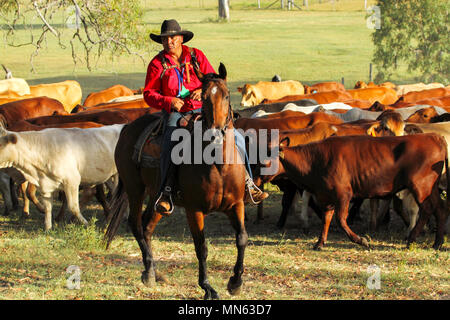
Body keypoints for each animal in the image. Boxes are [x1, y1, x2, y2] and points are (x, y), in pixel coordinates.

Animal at [104, 64, 248, 300]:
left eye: (226, 95)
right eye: (204, 98)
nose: (215, 134)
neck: (218, 165)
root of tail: (127, 128)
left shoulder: (236, 205)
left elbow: (242, 238)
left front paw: (235, 282)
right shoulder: (194, 210)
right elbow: (201, 247)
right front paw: (207, 287)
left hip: (157, 196)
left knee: (147, 226)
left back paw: (153, 271)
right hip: (135, 189)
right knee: (136, 224)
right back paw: (150, 273)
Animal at [258, 132, 448, 250]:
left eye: (265, 162)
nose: (256, 180)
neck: (315, 161)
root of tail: (434, 136)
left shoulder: (343, 194)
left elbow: (341, 220)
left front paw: (361, 240)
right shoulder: (326, 196)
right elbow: (326, 219)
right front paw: (320, 243)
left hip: (421, 187)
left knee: (427, 209)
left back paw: (412, 239)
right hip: (431, 189)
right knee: (440, 209)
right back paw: (437, 243)